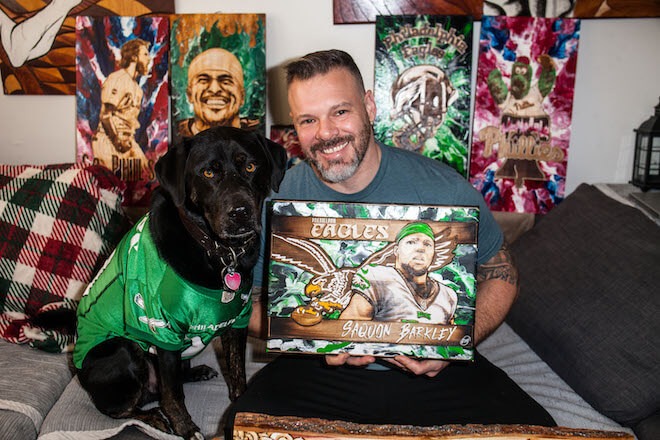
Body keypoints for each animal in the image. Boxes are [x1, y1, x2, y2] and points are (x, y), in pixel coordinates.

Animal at [73, 127, 288, 440]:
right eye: (209, 172)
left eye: (250, 167)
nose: (241, 212)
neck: (219, 252)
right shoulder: (164, 330)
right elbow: (173, 394)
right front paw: (185, 428)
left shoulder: (238, 321)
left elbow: (237, 370)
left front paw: (239, 408)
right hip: (122, 349)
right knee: (120, 408)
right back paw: (153, 417)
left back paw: (196, 373)